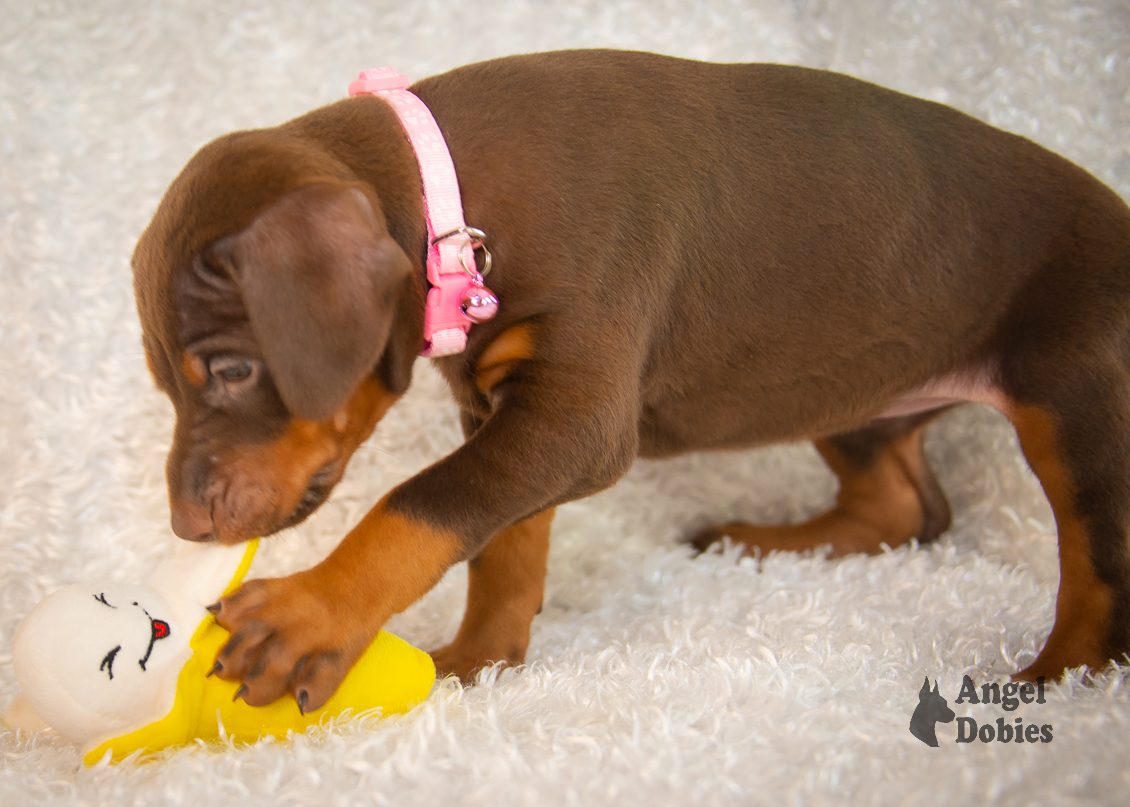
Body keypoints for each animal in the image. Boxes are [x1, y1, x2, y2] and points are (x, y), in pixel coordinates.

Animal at [134, 50, 1130, 705]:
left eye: (232, 368)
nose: (184, 527)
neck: (455, 205)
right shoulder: (503, 412)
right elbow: (503, 542)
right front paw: (480, 661)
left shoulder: (573, 415)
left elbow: (419, 505)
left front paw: (310, 612)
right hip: (853, 380)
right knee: (906, 506)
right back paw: (760, 543)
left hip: (1076, 397)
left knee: (1094, 572)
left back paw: (1058, 682)